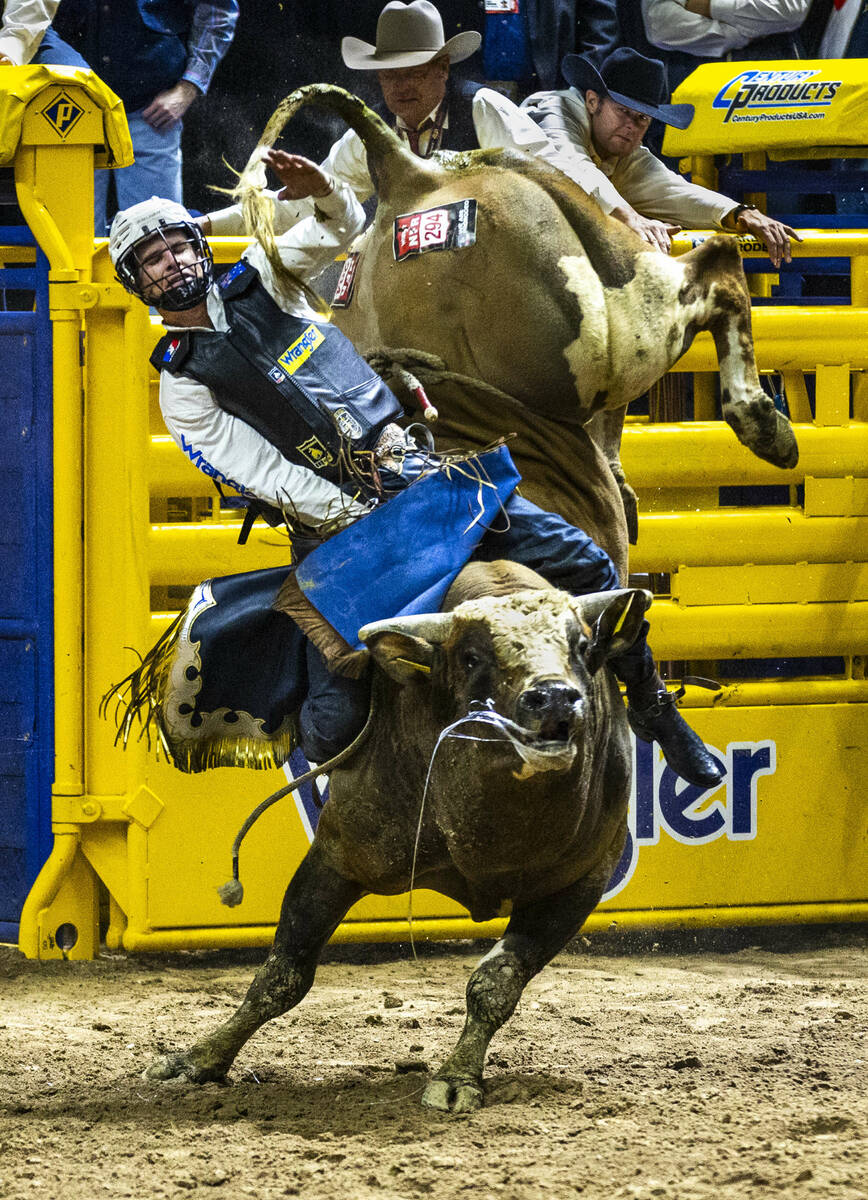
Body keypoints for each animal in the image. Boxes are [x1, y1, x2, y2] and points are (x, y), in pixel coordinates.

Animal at [146, 561, 651, 1112]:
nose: (554, 696)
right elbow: (280, 975)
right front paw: (198, 1059)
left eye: (580, 646)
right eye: (472, 656)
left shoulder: (579, 884)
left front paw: (457, 1077)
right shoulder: (337, 858)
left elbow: (494, 984)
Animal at [235, 85, 798, 545]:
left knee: (719, 264)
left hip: (606, 341)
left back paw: (768, 429)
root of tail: (412, 178)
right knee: (716, 265)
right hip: (620, 311)